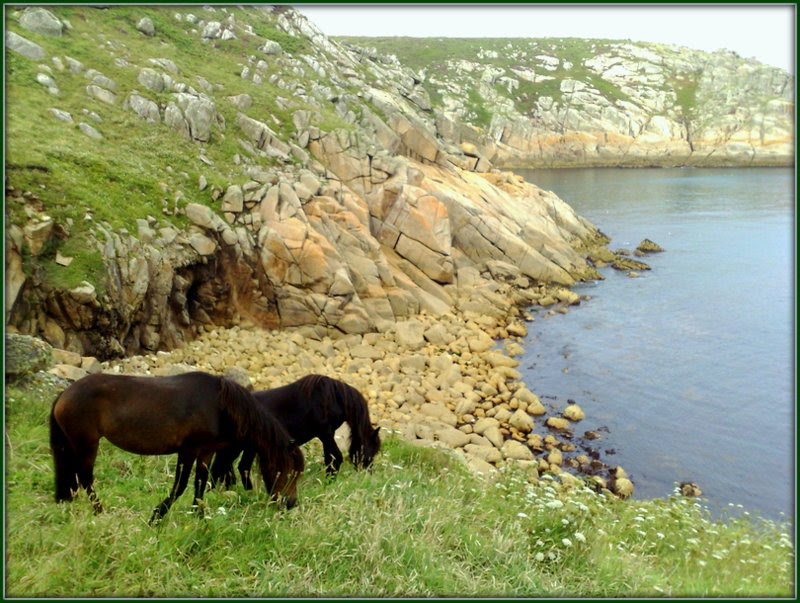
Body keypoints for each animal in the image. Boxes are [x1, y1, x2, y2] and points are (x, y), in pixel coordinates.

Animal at [48, 370, 304, 520]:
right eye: (289, 472)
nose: (291, 503)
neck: (219, 406)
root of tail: (64, 394)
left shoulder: (206, 451)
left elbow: (200, 483)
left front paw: (199, 514)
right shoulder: (188, 450)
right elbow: (180, 486)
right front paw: (157, 515)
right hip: (87, 444)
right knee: (85, 478)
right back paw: (100, 511)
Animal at [212, 372, 382, 490]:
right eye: (370, 451)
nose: (369, 475)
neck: (332, 396)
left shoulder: (328, 435)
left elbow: (329, 458)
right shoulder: (325, 434)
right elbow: (336, 458)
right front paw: (329, 483)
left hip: (245, 447)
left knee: (236, 468)